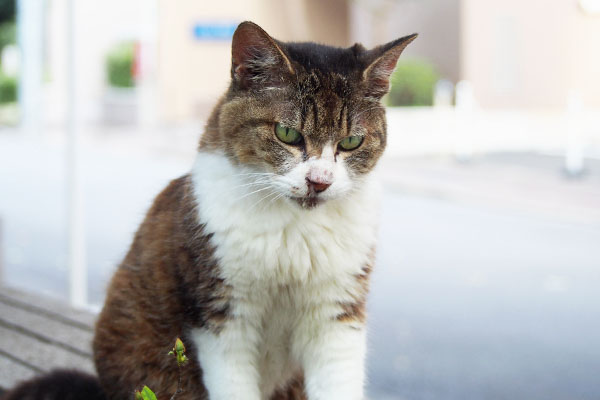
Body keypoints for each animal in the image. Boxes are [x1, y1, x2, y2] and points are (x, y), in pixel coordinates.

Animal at [0, 21, 414, 400]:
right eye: (287, 134)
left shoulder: (337, 314)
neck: (293, 233)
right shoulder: (223, 314)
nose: (320, 181)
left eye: (352, 141)